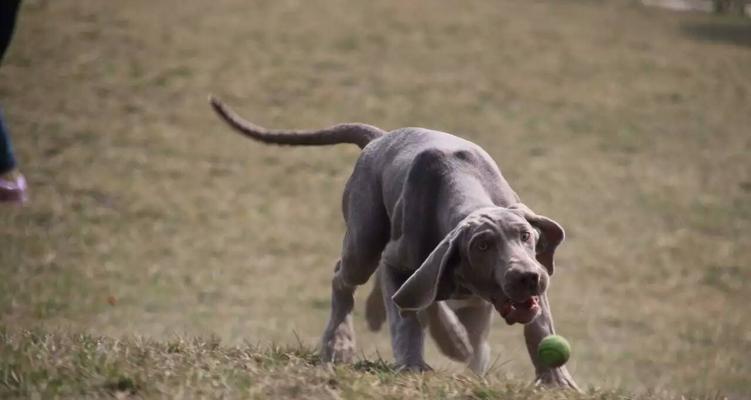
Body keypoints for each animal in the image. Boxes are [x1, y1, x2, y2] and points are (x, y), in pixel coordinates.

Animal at [212, 95, 580, 390]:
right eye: (482, 246)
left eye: (526, 236)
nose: (527, 277)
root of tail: (379, 138)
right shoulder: (397, 262)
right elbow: (405, 319)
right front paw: (413, 364)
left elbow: (539, 326)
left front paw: (556, 380)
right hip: (364, 240)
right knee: (347, 278)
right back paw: (339, 344)